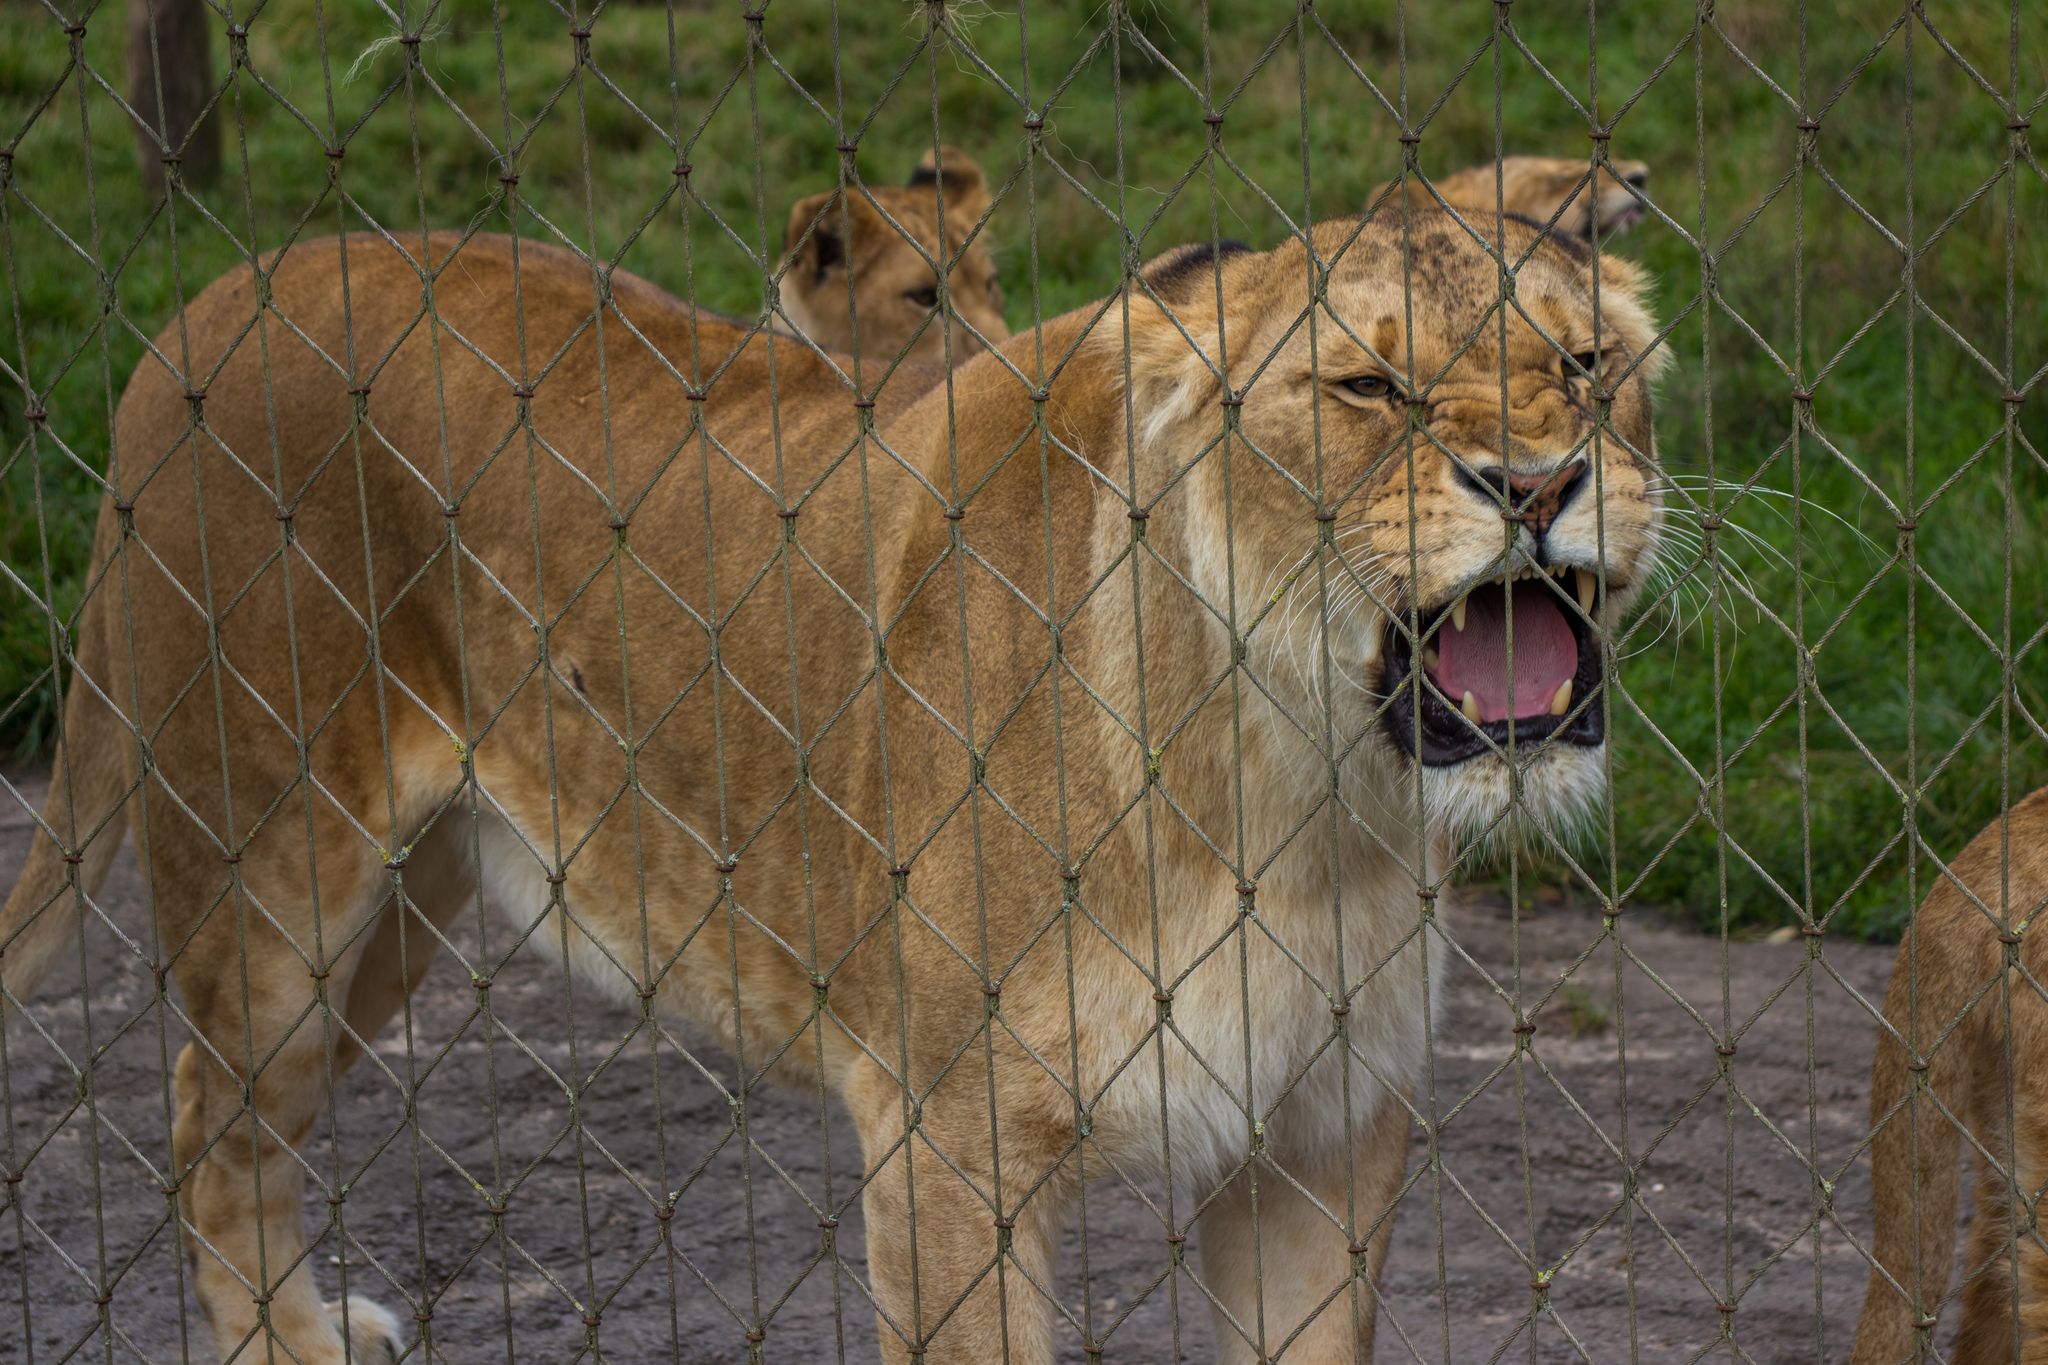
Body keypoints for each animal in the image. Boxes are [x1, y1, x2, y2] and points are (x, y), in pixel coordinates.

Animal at [0, 203, 1668, 1363]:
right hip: (273, 874)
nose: (1538, 485)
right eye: (1370, 386)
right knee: (208, 1123)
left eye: (1586, 366)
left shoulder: (1323, 1132)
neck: (1291, 788)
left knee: (249, 1120)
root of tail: (207, 304)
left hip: (406, 898)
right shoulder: (951, 1148)